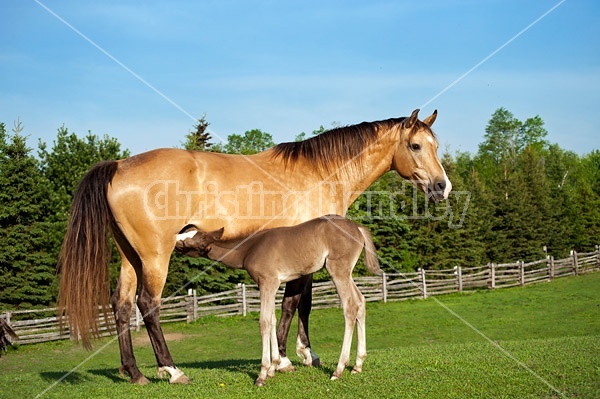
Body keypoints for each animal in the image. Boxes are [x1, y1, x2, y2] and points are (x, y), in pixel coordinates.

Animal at [173, 216, 380, 388]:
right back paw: (358, 364)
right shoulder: (271, 285)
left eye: (189, 241)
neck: (249, 249)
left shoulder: (268, 282)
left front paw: (262, 374)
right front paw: (274, 367)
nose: (172, 241)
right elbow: (272, 320)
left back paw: (339, 369)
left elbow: (265, 322)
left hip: (337, 269)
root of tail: (358, 228)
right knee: (361, 302)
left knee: (350, 306)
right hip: (346, 273)